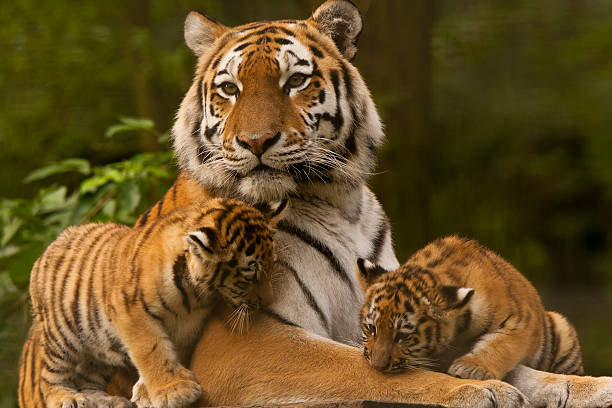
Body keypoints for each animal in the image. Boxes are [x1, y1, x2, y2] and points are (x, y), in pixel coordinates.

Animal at [19, 0, 612, 408]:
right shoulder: (242, 342)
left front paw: (583, 385)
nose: (256, 142)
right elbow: (363, 368)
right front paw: (473, 392)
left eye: (295, 80)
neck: (336, 200)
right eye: (230, 89)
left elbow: (515, 364)